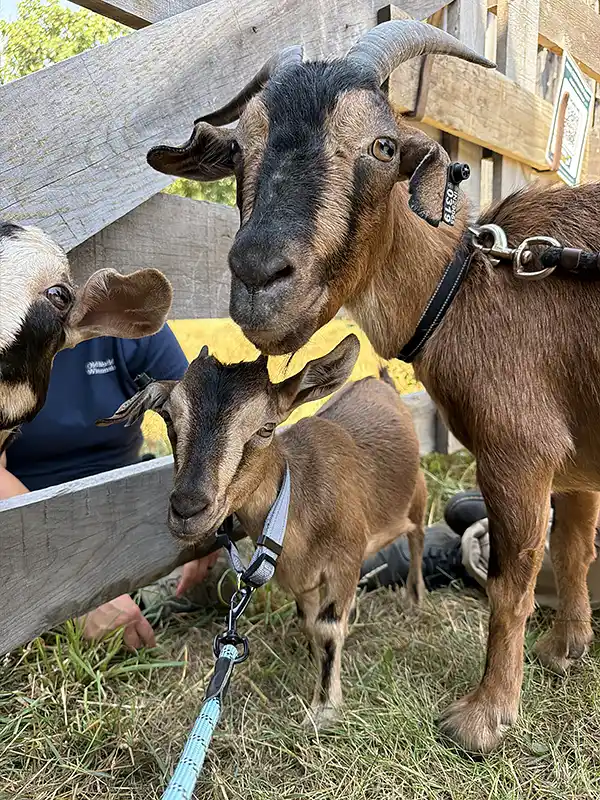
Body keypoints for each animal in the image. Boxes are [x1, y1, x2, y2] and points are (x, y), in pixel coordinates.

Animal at [100, 334, 427, 726]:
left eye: (266, 428)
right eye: (170, 421)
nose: (187, 508)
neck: (295, 500)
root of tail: (382, 384)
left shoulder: (345, 560)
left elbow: (328, 626)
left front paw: (324, 708)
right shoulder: (300, 578)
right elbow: (308, 620)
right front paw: (310, 658)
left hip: (417, 494)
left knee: (418, 536)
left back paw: (416, 598)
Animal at [147, 19, 600, 752]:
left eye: (383, 146)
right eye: (240, 146)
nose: (259, 274)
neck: (471, 284)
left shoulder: (518, 450)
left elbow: (512, 581)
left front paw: (483, 717)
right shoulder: (575, 457)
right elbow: (575, 545)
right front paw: (565, 650)